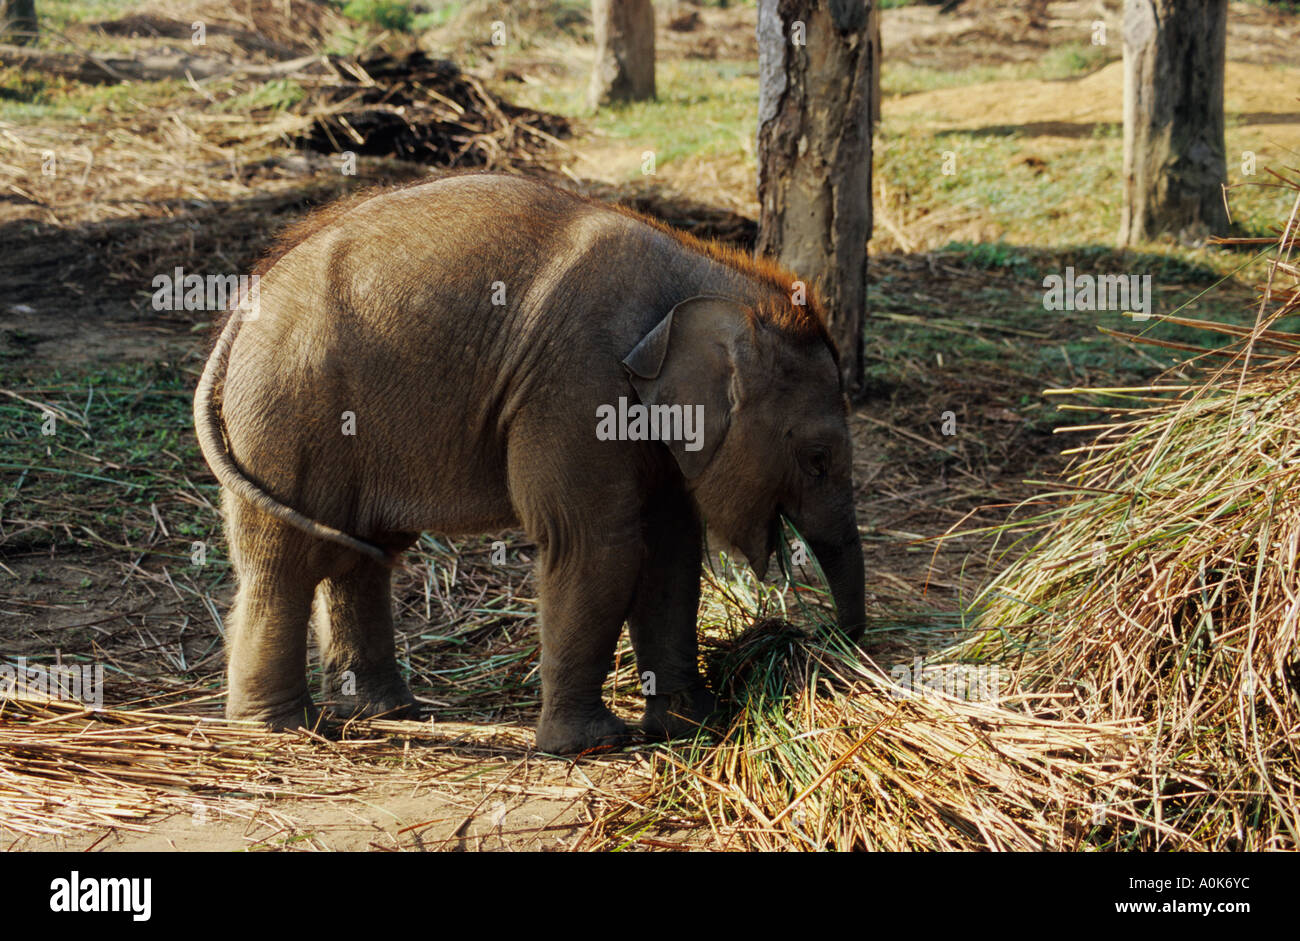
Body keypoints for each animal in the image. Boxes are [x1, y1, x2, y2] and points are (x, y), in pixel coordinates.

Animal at [193, 172, 866, 754]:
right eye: (817, 459)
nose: (826, 641)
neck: (704, 278)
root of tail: (243, 308)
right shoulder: (577, 383)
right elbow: (597, 544)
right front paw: (591, 745)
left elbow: (672, 552)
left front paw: (694, 725)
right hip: (288, 415)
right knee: (284, 560)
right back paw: (277, 729)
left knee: (361, 554)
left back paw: (383, 711)